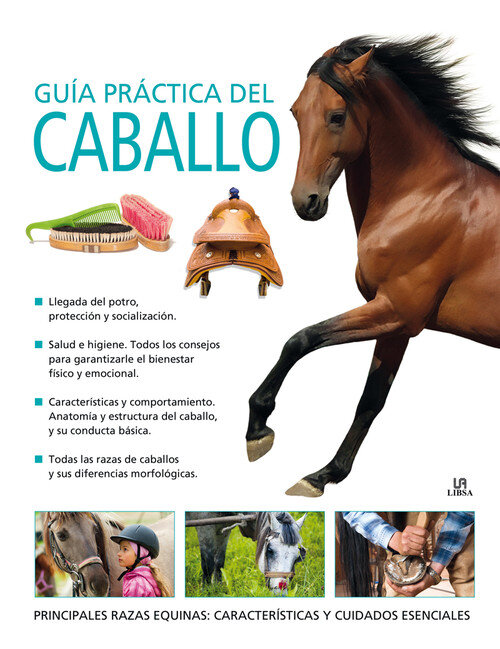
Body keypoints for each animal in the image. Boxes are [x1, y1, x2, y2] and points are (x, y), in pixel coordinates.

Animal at [246, 36, 500, 497]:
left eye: (337, 115)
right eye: (295, 112)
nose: (305, 202)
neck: (424, 199)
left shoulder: (396, 310)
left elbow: (300, 340)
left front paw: (258, 429)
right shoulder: (396, 324)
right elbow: (371, 399)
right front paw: (324, 475)